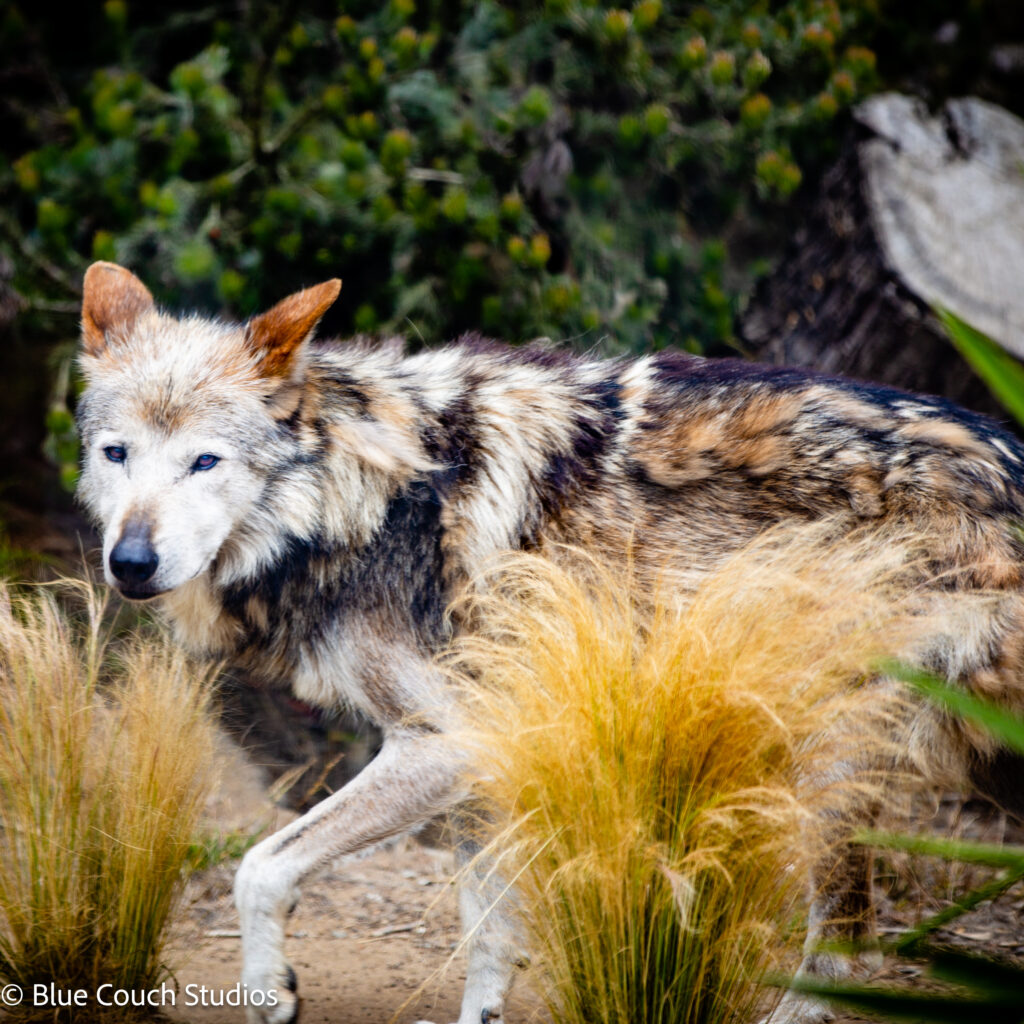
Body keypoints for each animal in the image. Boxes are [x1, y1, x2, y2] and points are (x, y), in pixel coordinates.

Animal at [76, 261, 1024, 1024]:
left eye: (205, 462)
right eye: (117, 454)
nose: (131, 562)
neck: (361, 494)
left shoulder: (443, 744)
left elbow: (260, 868)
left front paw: (270, 987)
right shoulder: (482, 757)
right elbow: (489, 938)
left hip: (825, 768)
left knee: (841, 954)